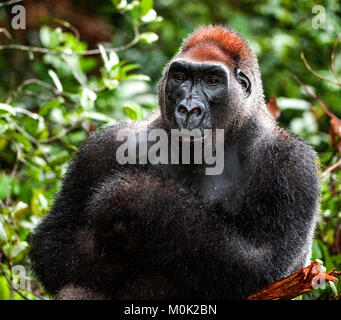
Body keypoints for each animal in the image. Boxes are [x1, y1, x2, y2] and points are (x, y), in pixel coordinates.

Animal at [28, 26, 318, 298]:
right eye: (181, 77)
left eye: (212, 80)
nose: (188, 110)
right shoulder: (102, 148)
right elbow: (52, 247)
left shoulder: (293, 164)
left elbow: (266, 263)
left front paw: (135, 198)